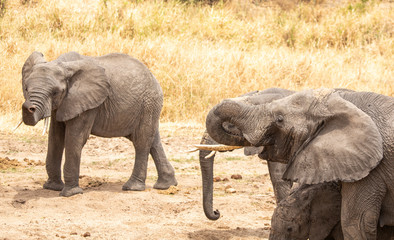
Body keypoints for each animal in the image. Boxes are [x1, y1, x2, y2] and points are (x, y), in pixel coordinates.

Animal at [19, 51, 177, 196]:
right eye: (26, 88)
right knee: (153, 140)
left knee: (141, 141)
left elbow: (75, 138)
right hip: (146, 107)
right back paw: (166, 185)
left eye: (55, 92)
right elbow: (55, 138)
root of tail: (153, 76)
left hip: (148, 102)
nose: (28, 107)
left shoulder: (86, 104)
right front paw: (52, 188)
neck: (63, 65)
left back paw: (132, 188)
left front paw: (71, 193)